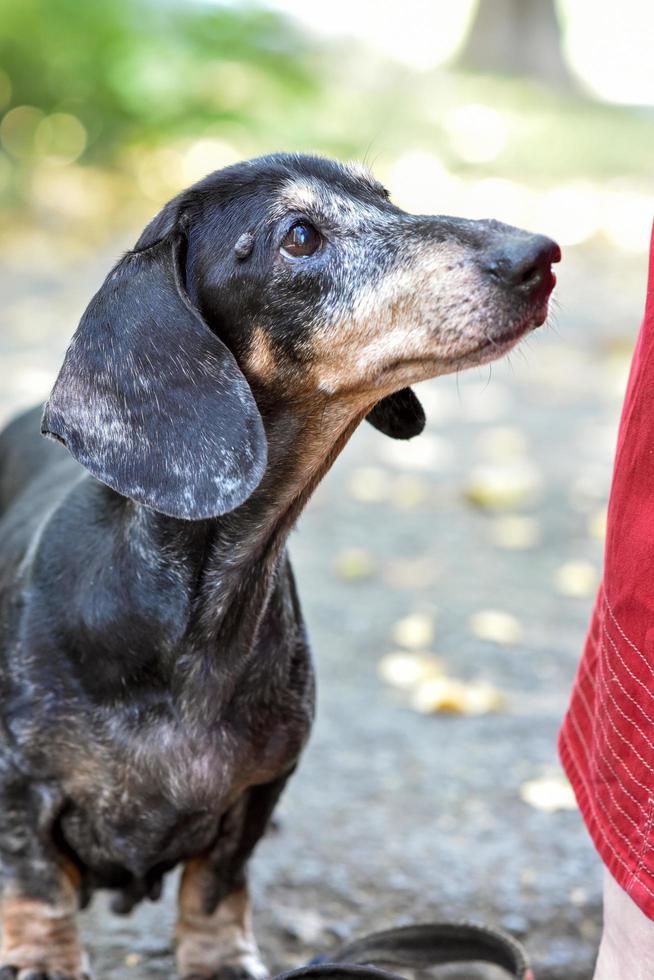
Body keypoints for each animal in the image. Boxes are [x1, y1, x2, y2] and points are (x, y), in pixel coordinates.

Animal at [0, 151, 560, 972]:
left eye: (385, 198)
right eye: (299, 235)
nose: (540, 256)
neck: (187, 619)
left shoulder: (260, 787)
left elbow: (216, 883)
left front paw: (220, 958)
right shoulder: (19, 785)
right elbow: (35, 879)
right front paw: (43, 957)